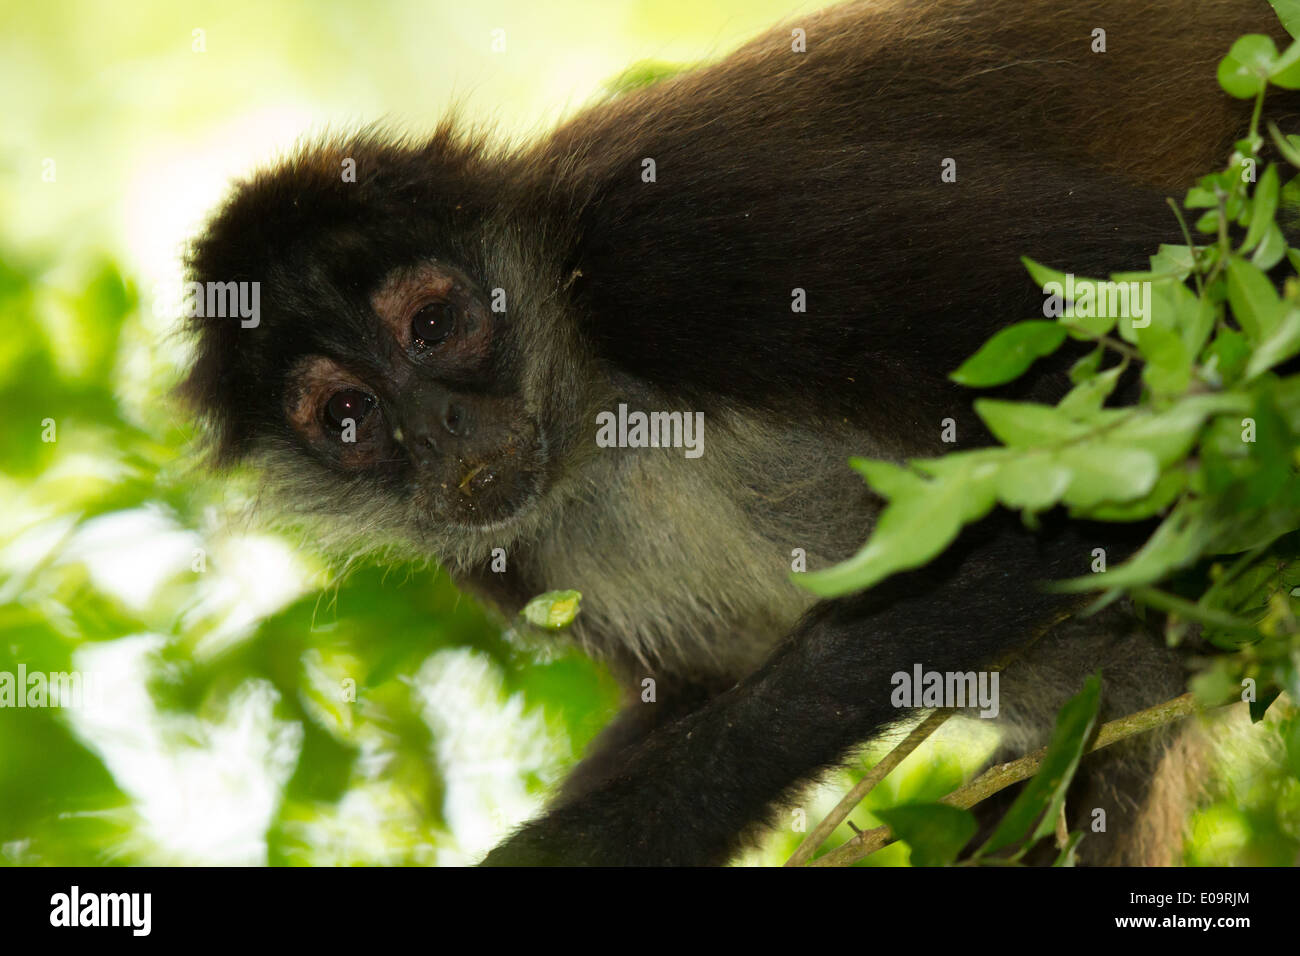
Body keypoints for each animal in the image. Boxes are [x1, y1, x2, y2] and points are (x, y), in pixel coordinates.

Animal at [178, 0, 1294, 868]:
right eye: (350, 417)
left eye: (434, 325)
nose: (440, 423)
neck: (596, 418)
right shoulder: (497, 541)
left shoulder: (668, 242)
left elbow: (1168, 332)